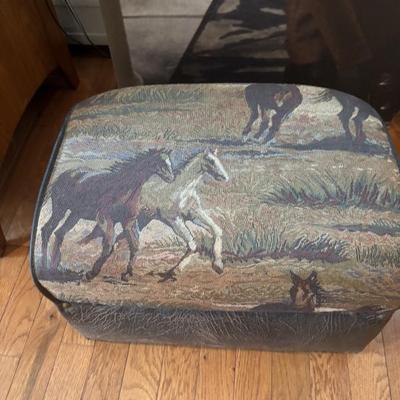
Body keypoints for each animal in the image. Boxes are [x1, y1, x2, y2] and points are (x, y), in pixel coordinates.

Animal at [40, 149, 175, 281]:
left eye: (169, 162)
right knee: (47, 230)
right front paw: (91, 273)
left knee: (59, 233)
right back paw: (46, 267)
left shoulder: (128, 222)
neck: (125, 188)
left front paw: (126, 274)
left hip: (75, 215)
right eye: (162, 162)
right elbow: (109, 244)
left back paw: (56, 267)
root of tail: (61, 177)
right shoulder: (104, 219)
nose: (171, 178)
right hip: (60, 210)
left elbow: (134, 245)